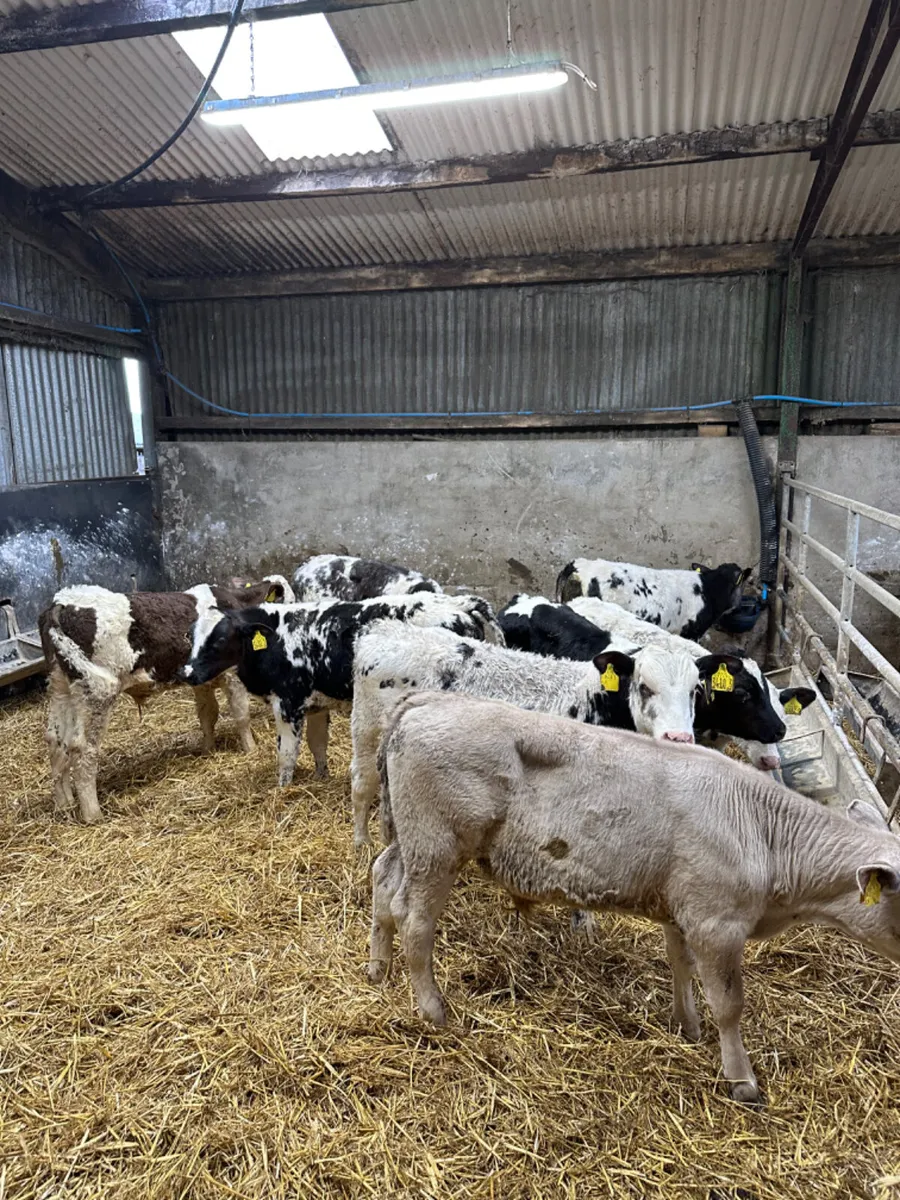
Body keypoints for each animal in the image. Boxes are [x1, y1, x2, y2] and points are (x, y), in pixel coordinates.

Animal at [38, 575, 294, 824]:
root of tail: (61, 603)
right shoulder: (232, 675)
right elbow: (241, 716)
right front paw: (251, 749)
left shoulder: (201, 681)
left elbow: (207, 715)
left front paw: (208, 750)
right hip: (97, 691)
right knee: (82, 750)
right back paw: (92, 814)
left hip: (60, 688)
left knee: (55, 741)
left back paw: (64, 805)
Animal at [180, 592, 504, 787]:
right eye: (191, 638)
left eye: (220, 640)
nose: (187, 673)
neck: (277, 638)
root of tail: (458, 603)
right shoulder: (315, 704)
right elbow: (317, 744)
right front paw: (321, 777)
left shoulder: (288, 703)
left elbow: (286, 752)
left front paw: (282, 789)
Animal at [349, 620, 728, 848]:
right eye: (645, 687)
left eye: (695, 690)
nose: (679, 738)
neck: (594, 699)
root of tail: (382, 630)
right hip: (365, 732)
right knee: (361, 784)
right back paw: (361, 842)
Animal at [369, 690, 900, 1104]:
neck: (761, 829)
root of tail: (425, 701)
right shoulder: (717, 923)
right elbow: (729, 1004)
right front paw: (742, 1080)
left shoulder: (680, 908)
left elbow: (680, 964)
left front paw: (687, 1025)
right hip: (436, 846)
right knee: (416, 921)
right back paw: (434, 1011)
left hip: (409, 841)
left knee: (382, 881)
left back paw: (378, 969)